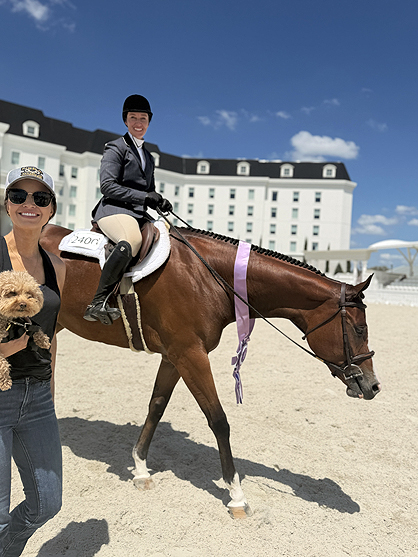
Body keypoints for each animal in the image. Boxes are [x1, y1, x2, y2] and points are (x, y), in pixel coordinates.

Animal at [40, 223, 380, 518]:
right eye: (359, 329)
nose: (373, 386)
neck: (209, 277)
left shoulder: (175, 357)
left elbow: (156, 407)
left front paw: (140, 469)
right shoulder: (191, 355)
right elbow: (218, 420)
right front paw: (237, 497)